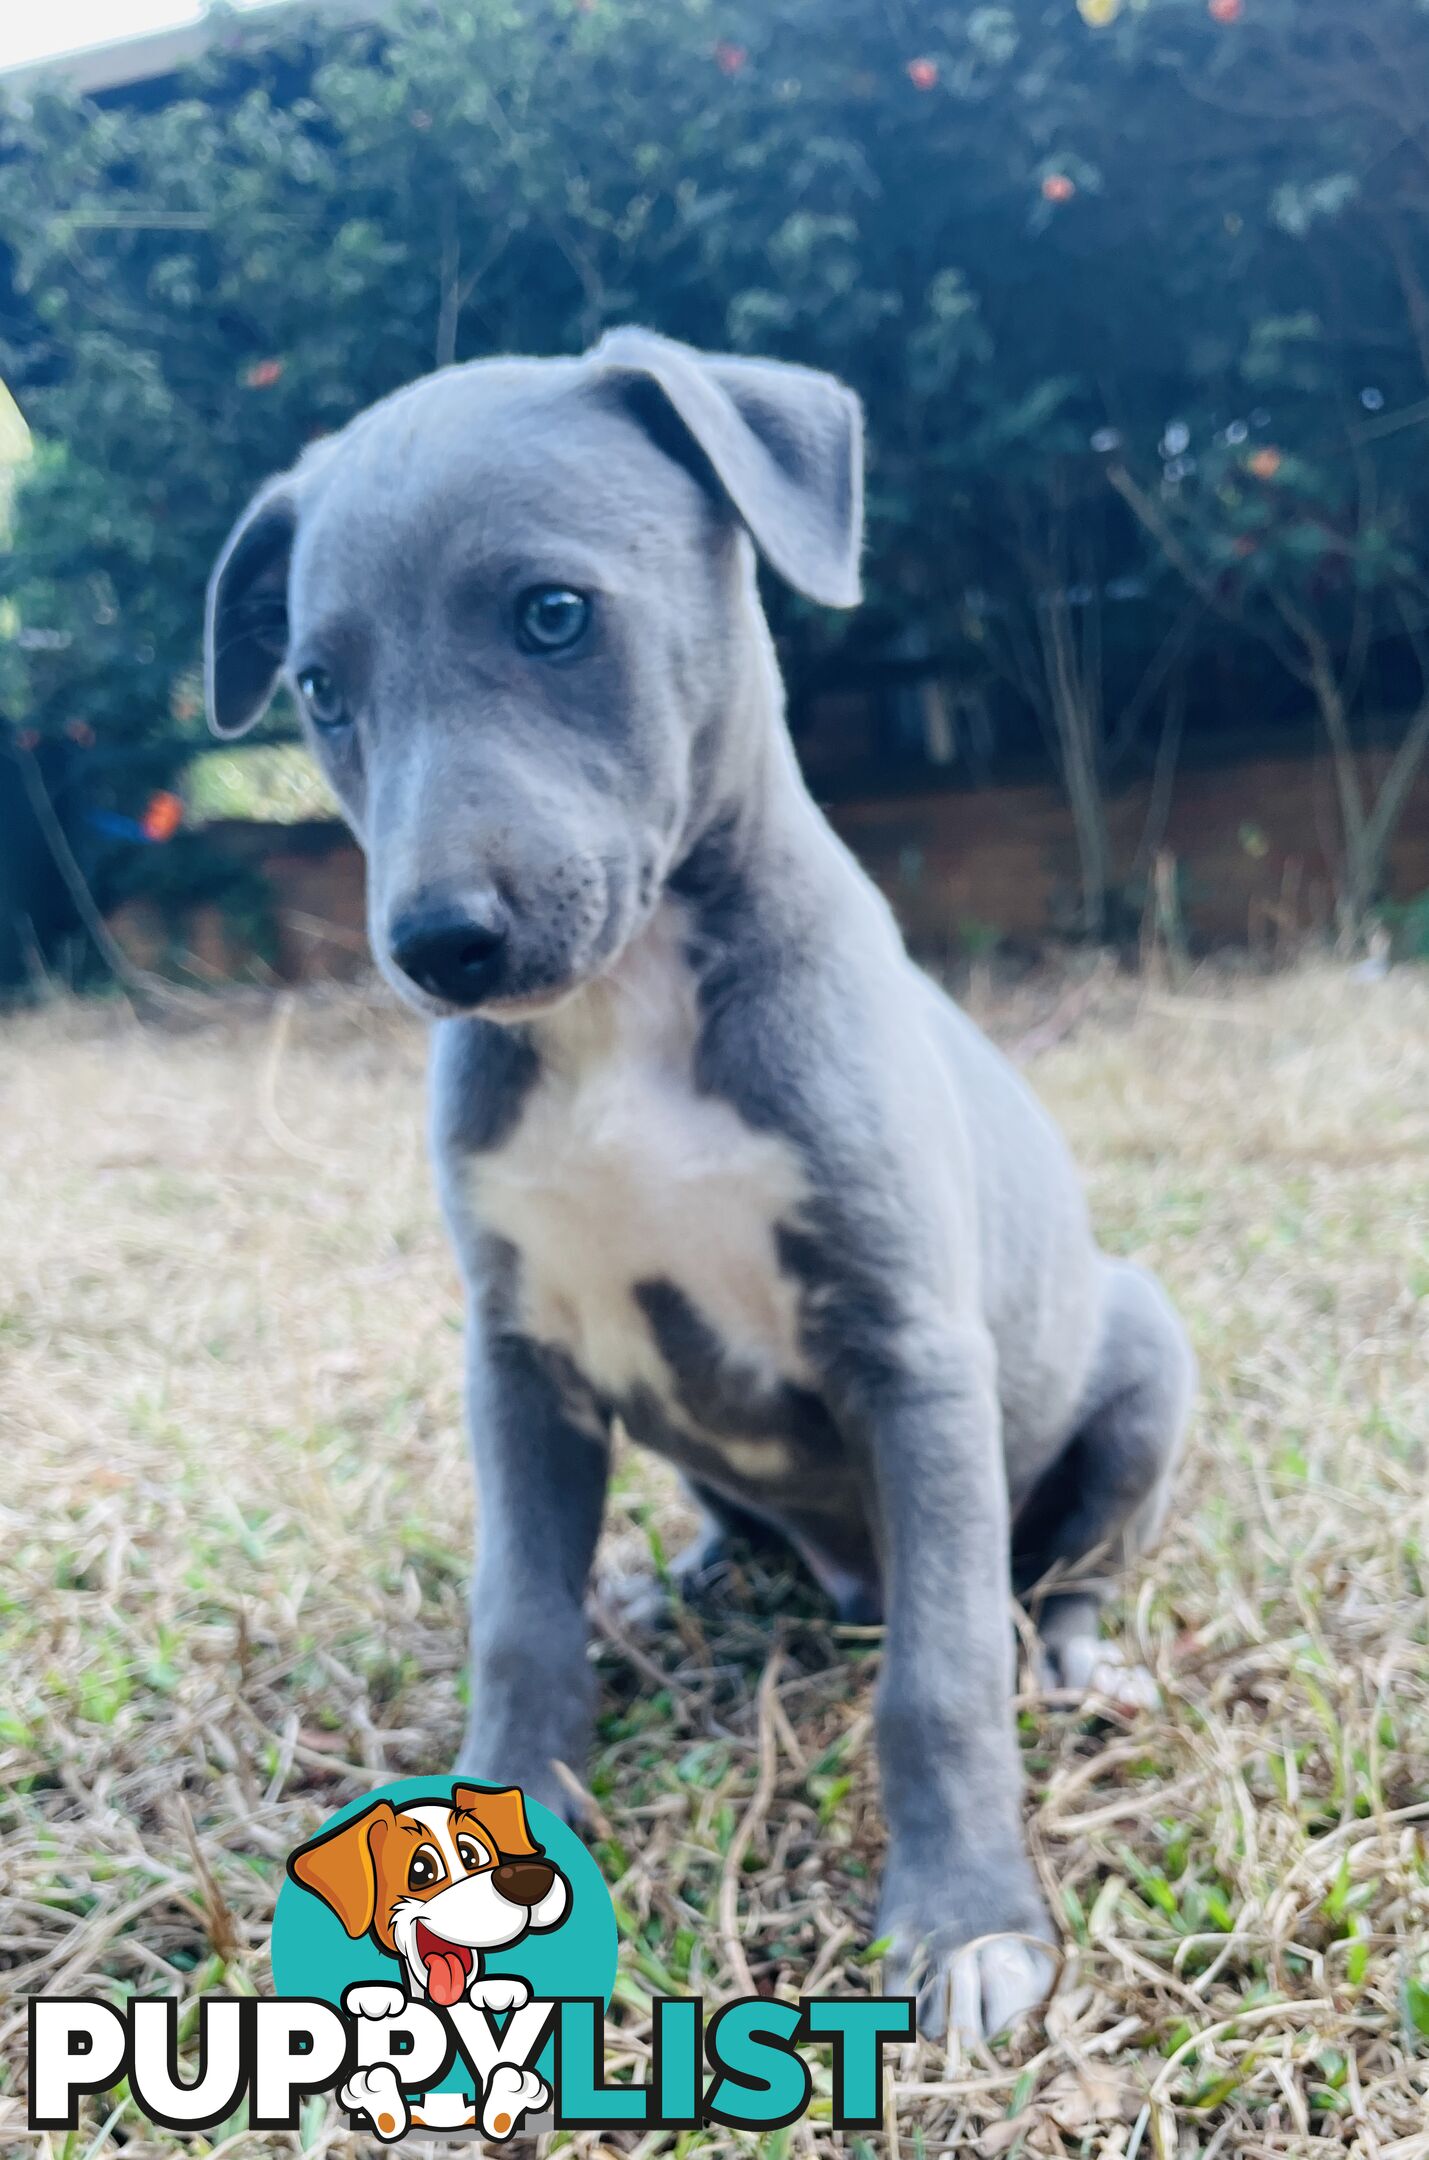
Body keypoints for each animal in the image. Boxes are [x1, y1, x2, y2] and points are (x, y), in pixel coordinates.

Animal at [207, 324, 1200, 2039]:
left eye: (554, 614)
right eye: (322, 688)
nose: (439, 946)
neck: (627, 1013)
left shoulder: (910, 1349)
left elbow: (944, 1672)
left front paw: (965, 1922)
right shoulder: (514, 1356)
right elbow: (517, 1612)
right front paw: (502, 1800)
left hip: (1137, 1359)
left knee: (1050, 1577)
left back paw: (1075, 1659)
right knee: (713, 1536)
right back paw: (671, 1586)